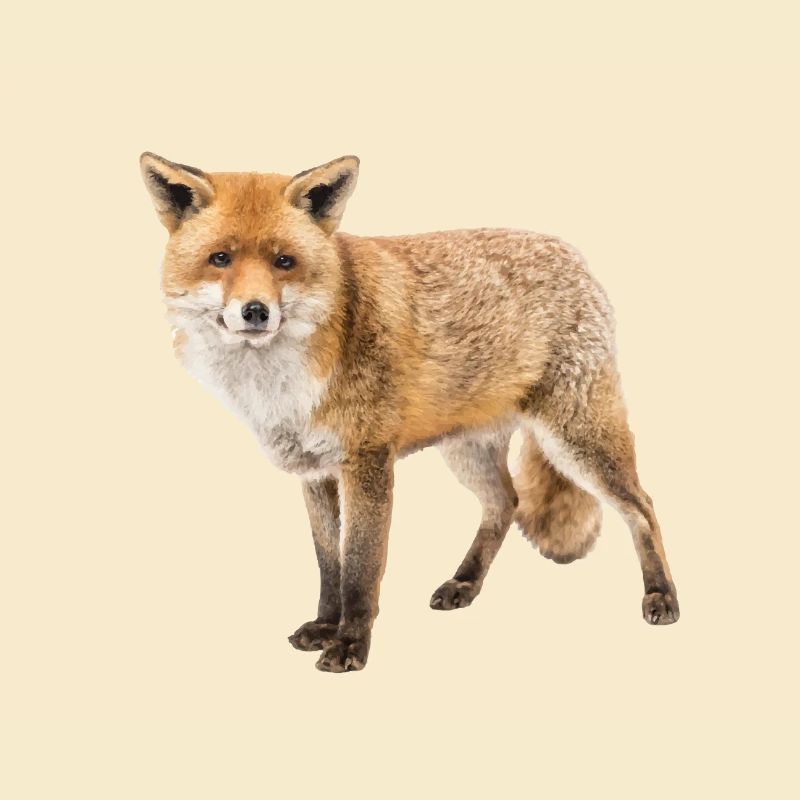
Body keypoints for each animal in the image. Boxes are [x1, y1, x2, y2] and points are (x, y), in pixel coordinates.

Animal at [140, 152, 679, 673]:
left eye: (284, 262)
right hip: (469, 451)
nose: (255, 311)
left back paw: (662, 596)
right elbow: (329, 564)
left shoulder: (368, 460)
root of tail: (569, 250)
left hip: (576, 439)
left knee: (642, 506)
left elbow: (360, 567)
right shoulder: (314, 471)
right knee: (506, 504)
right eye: (220, 259)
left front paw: (350, 645)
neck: (283, 380)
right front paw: (325, 625)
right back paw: (464, 583)